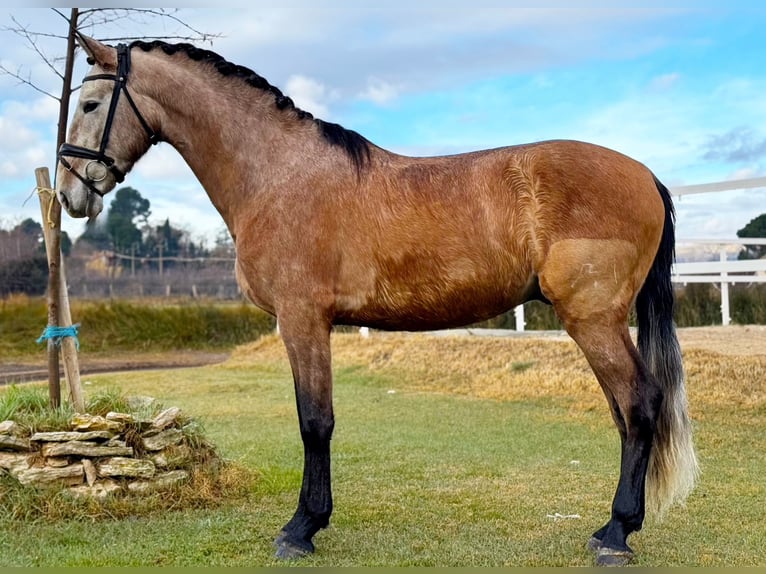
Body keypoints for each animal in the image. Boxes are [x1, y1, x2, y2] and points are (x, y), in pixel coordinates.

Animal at [55, 35, 704, 568]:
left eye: (90, 105)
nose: (69, 194)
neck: (277, 174)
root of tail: (645, 176)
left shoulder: (303, 320)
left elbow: (314, 421)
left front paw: (300, 529)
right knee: (626, 414)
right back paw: (614, 527)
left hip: (592, 319)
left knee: (640, 404)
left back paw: (616, 534)